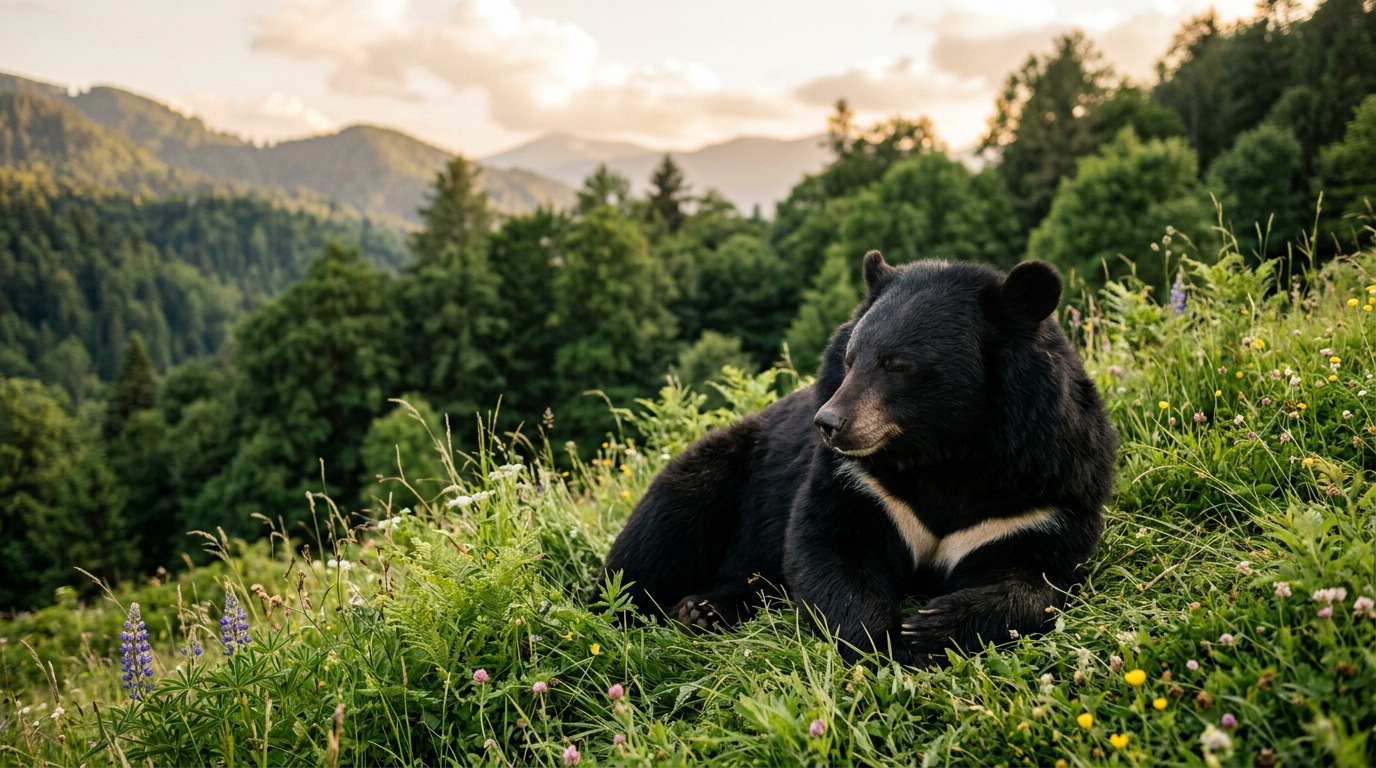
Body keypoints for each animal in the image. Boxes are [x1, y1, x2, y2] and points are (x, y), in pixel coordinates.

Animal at [601, 251, 1118, 667]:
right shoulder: (861, 482)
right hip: (720, 469)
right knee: (657, 537)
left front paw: (931, 625)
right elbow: (829, 546)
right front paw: (887, 640)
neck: (946, 451)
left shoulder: (1044, 492)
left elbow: (1039, 577)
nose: (829, 423)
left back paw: (703, 610)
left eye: (899, 365)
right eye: (850, 360)